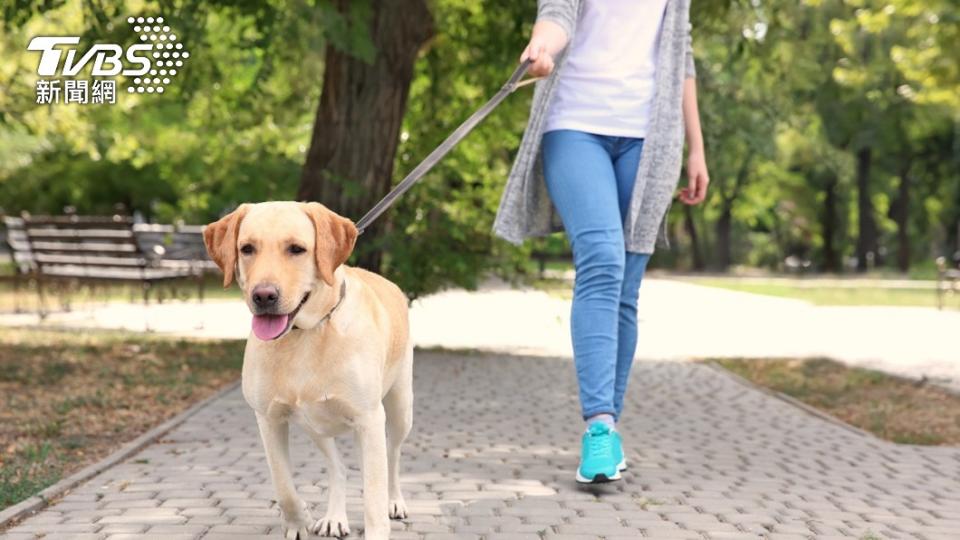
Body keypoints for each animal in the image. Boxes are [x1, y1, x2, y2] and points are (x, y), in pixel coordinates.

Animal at [202, 201, 412, 540]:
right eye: (246, 248)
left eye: (296, 249)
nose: (263, 296)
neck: (305, 334)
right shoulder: (269, 418)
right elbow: (283, 484)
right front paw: (298, 520)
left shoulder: (368, 419)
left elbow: (374, 496)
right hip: (315, 425)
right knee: (338, 467)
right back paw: (334, 516)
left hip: (399, 408)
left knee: (392, 456)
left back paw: (395, 501)